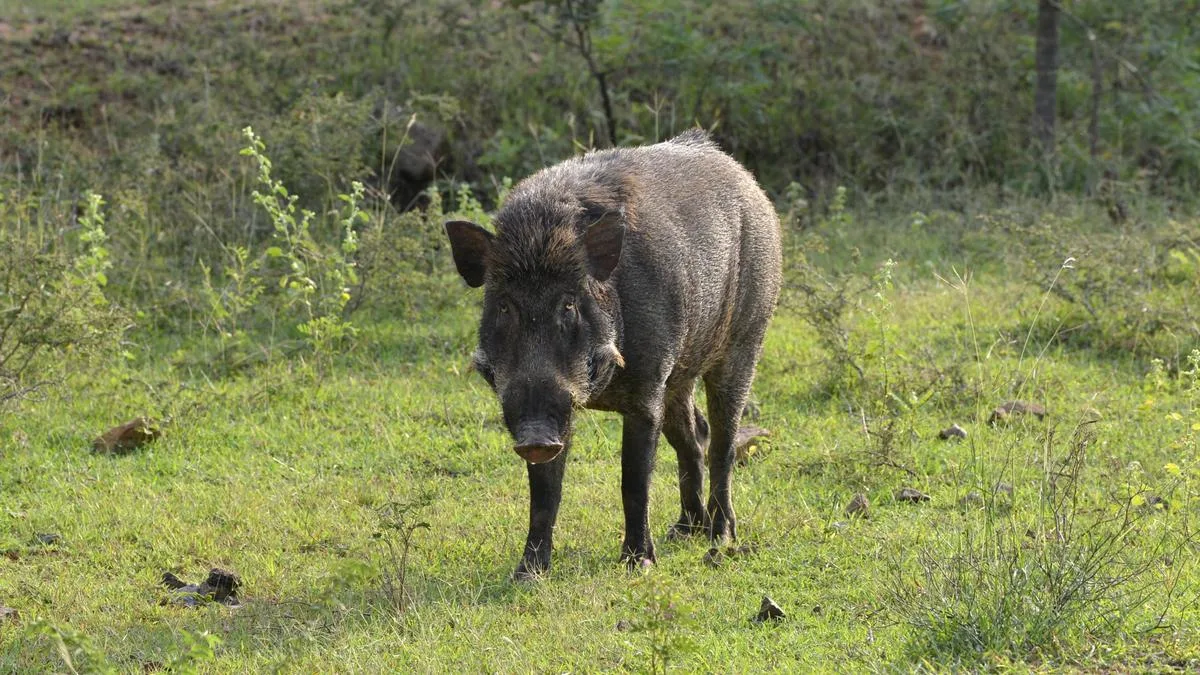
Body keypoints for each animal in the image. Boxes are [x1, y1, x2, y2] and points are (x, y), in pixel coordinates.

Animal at [445, 129, 782, 579]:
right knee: (694, 437)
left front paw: (639, 564)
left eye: (569, 304)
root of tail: (747, 180)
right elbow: (544, 492)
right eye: (503, 305)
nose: (535, 437)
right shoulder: (563, 408)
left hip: (746, 338)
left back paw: (720, 536)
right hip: (679, 376)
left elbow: (633, 479)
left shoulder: (646, 386)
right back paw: (684, 532)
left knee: (722, 443)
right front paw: (527, 573)